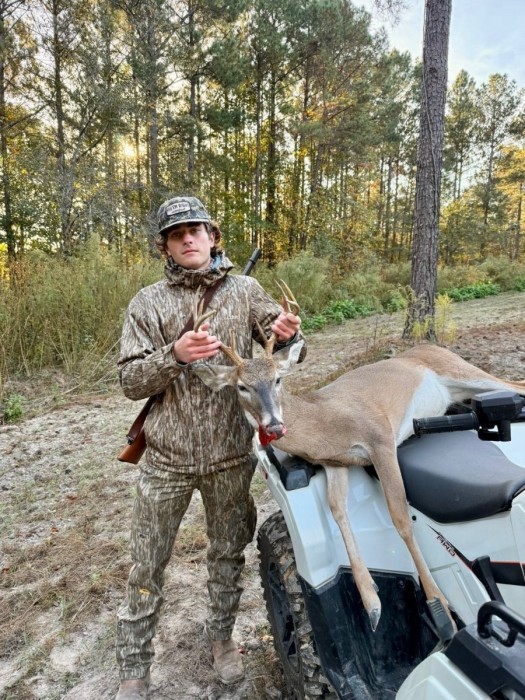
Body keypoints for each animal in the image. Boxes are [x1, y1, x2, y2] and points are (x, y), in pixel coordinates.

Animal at [192, 284, 525, 633]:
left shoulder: (380, 438)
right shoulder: (336, 464)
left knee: (517, 384)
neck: (325, 423)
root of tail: (431, 345)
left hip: (461, 370)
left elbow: (400, 518)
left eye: (278, 379)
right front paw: (371, 602)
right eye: (242, 387)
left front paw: (440, 606)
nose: (273, 425)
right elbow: (338, 510)